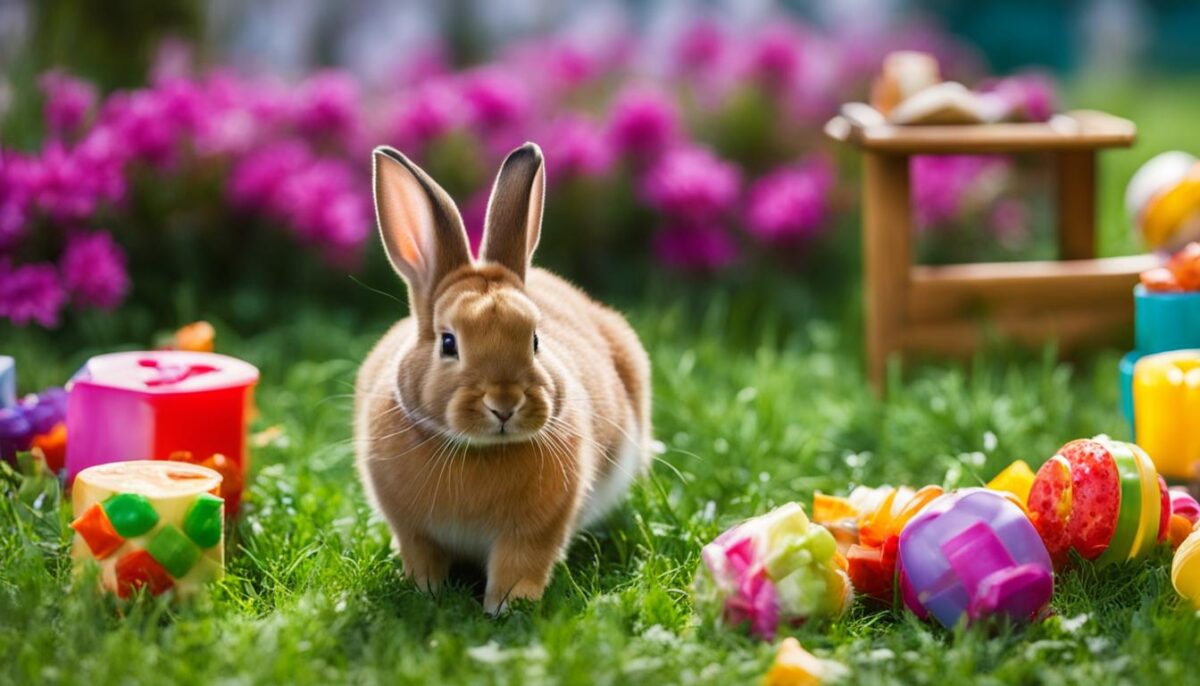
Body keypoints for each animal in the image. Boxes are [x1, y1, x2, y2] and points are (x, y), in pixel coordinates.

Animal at [354, 142, 652, 614]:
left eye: (535, 340)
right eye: (448, 343)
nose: (505, 403)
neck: (479, 451)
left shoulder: (535, 532)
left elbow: (520, 566)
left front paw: (505, 608)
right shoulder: (412, 529)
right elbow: (422, 556)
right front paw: (426, 592)